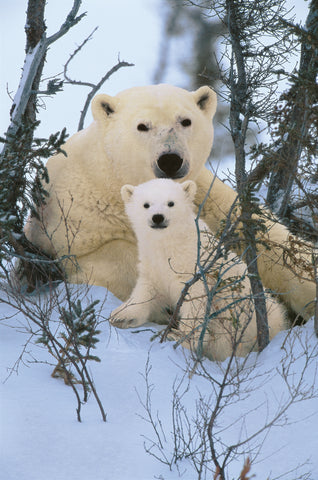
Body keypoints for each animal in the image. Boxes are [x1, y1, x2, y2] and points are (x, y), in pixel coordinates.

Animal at [23, 84, 316, 320]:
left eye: (185, 120)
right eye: (142, 126)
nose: (170, 160)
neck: (113, 180)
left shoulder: (205, 198)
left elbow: (269, 241)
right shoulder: (78, 225)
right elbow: (123, 262)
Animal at [110, 180, 286, 360]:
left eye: (171, 203)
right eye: (146, 204)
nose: (158, 217)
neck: (171, 245)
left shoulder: (195, 271)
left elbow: (194, 302)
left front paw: (180, 338)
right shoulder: (153, 264)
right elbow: (146, 291)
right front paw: (120, 316)